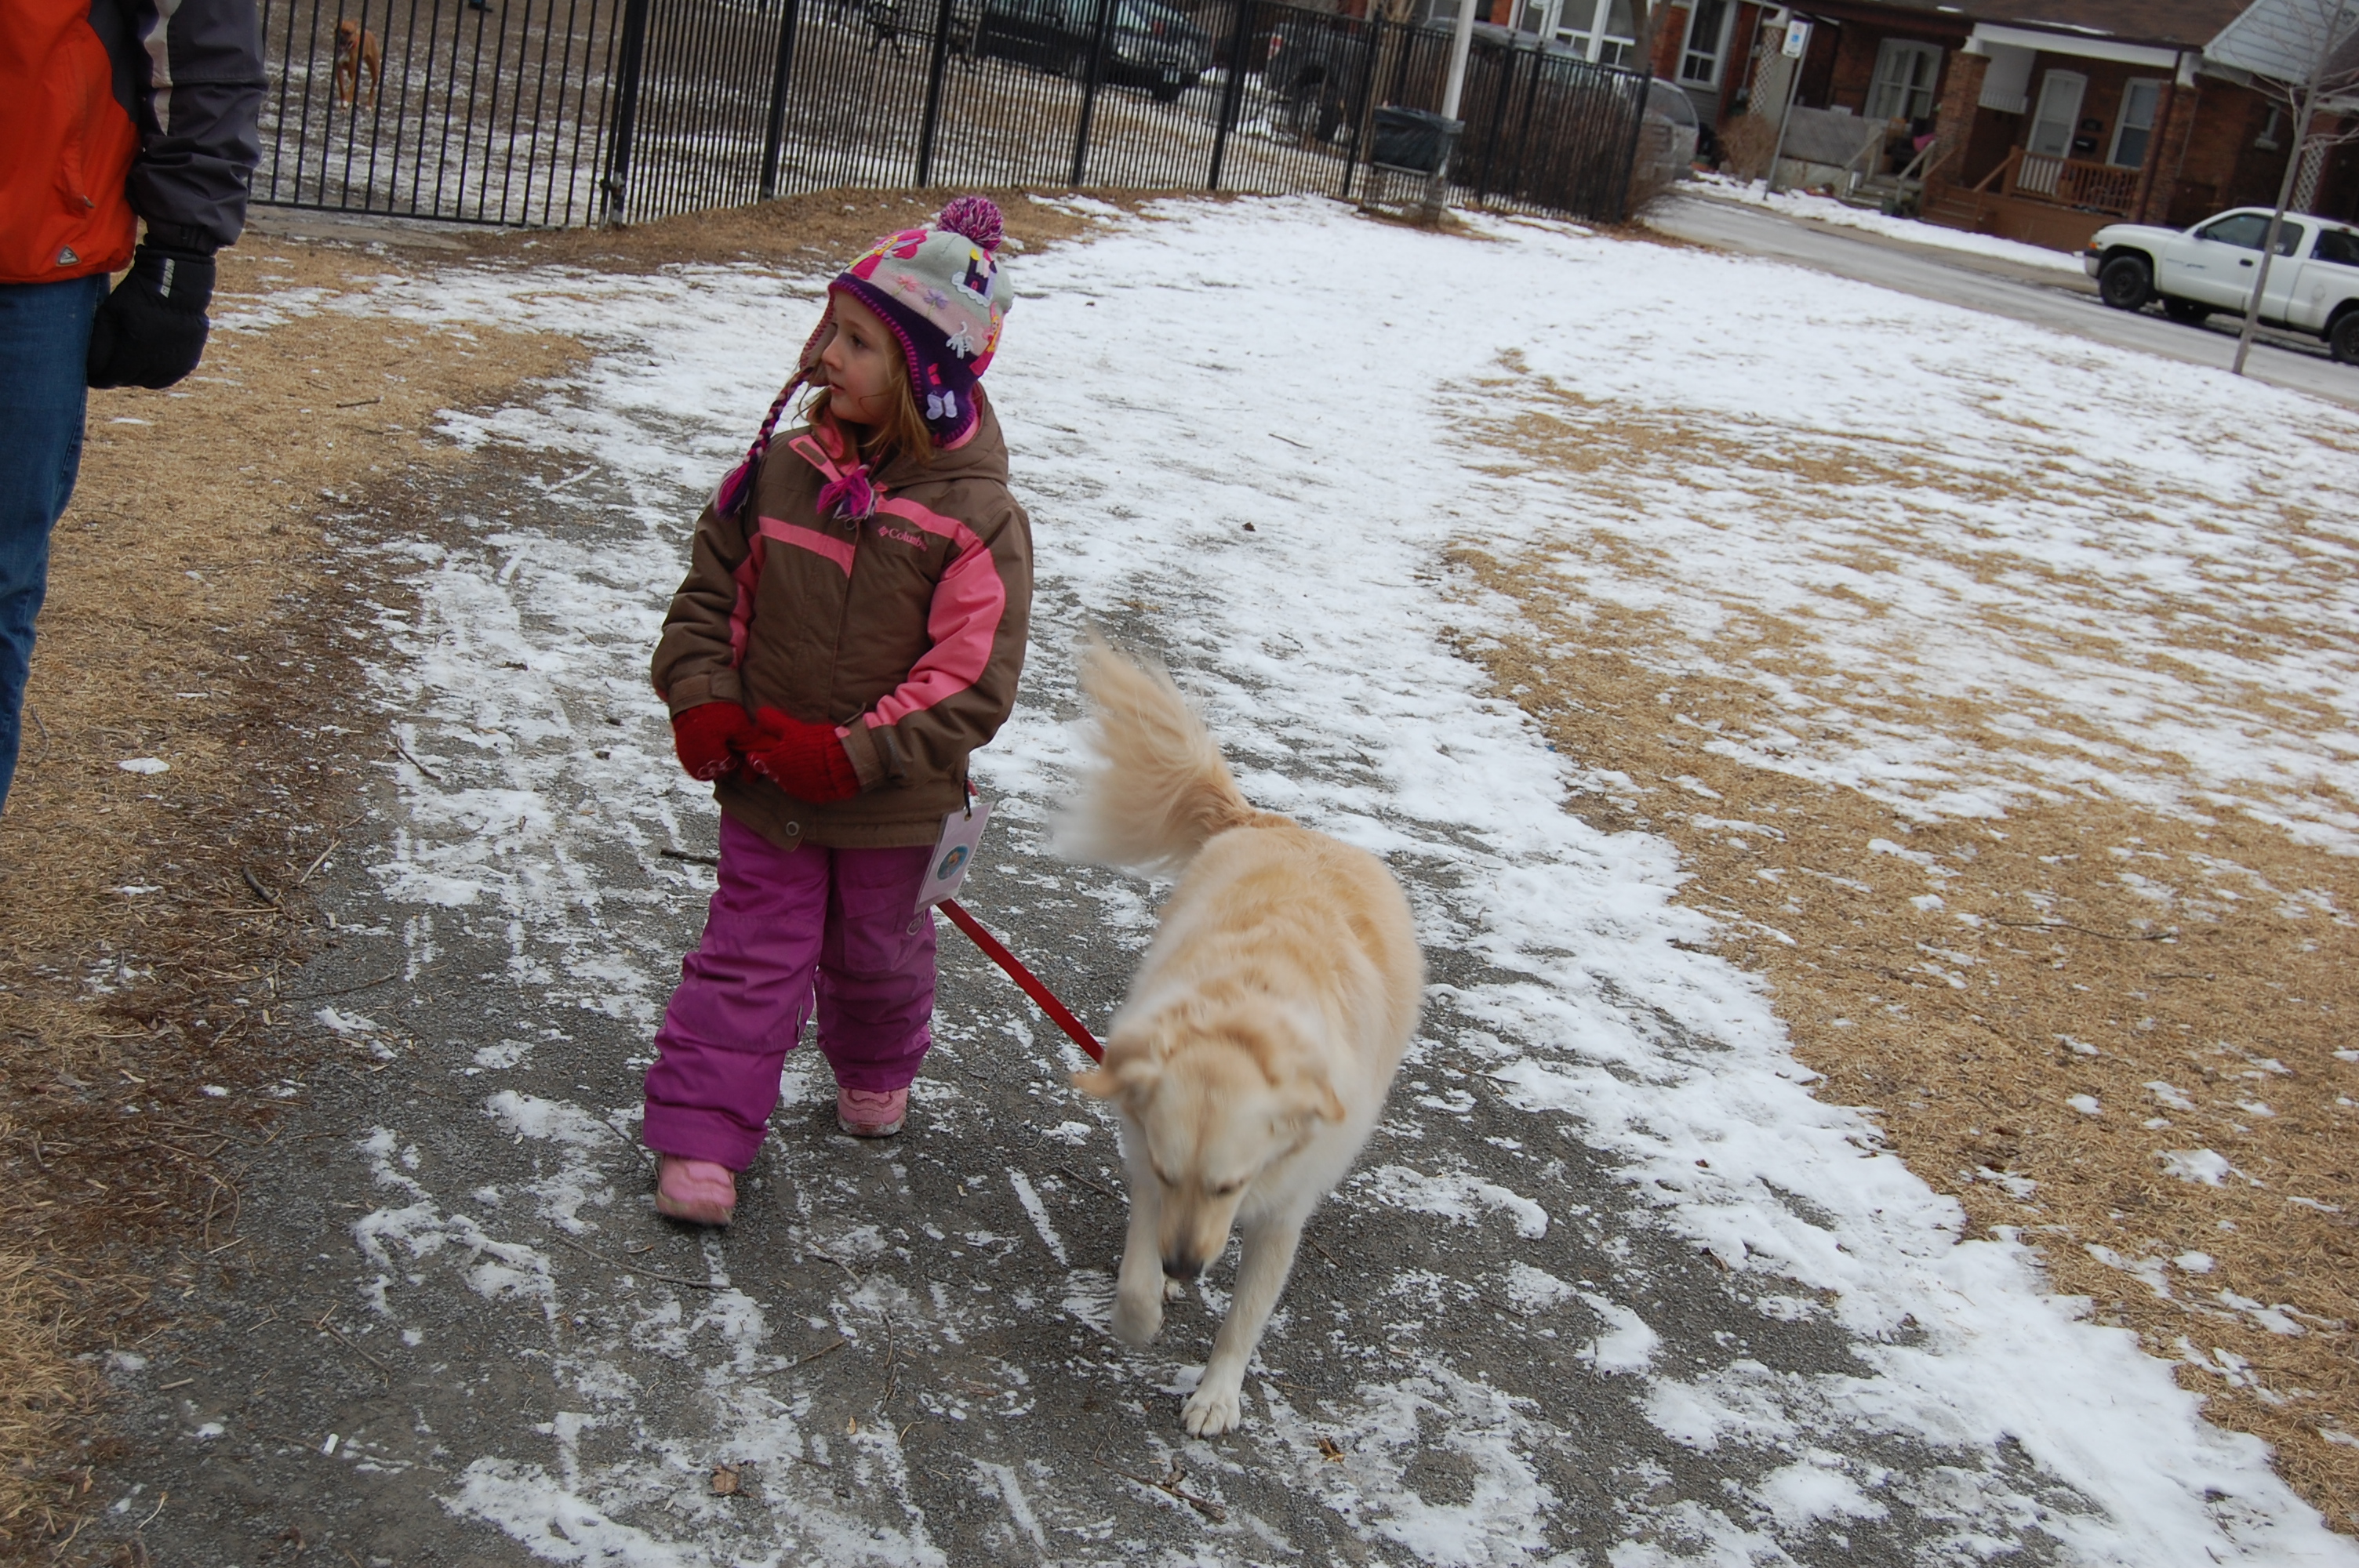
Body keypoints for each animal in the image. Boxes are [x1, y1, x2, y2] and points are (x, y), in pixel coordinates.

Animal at [1068, 640, 1423, 1437]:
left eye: (1230, 1184)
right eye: (1172, 1173)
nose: (1184, 1268)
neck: (1242, 1018)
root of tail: (1277, 823)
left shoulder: (1281, 1211)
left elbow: (1245, 1318)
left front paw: (1216, 1393)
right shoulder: (1147, 1162)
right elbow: (1134, 1276)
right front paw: (1142, 1310)